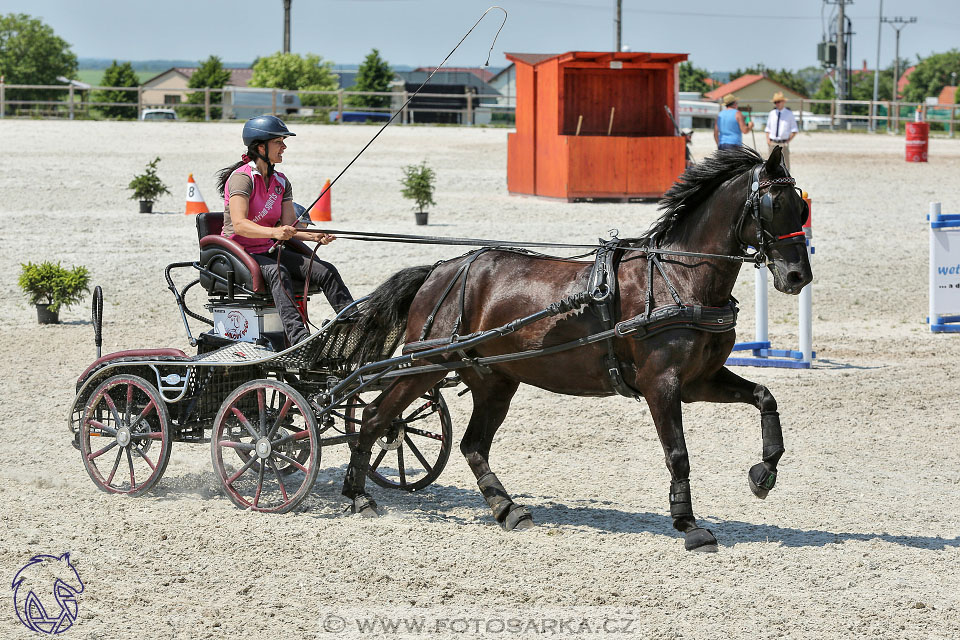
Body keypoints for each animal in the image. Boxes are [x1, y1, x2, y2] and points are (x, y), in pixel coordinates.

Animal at [344, 145, 808, 552]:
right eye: (773, 205)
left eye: (802, 208)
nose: (798, 276)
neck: (678, 277)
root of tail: (440, 270)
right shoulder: (661, 384)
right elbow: (677, 453)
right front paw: (689, 525)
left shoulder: (700, 381)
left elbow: (765, 396)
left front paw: (763, 473)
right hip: (427, 363)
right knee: (375, 417)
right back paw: (359, 496)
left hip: (494, 380)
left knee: (473, 445)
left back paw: (509, 510)